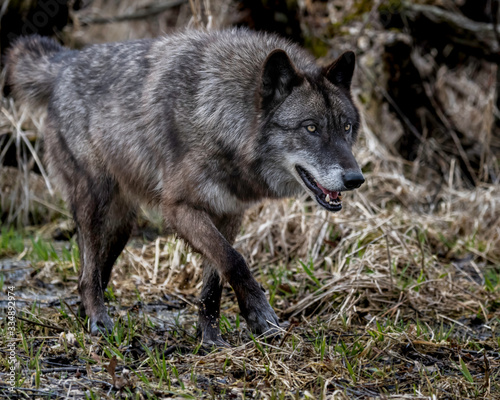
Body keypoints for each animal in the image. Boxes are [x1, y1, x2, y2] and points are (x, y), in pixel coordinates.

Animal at [5, 28, 366, 346]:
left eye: (347, 127)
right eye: (311, 128)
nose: (356, 179)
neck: (222, 117)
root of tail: (65, 62)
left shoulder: (228, 213)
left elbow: (214, 282)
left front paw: (211, 339)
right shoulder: (179, 209)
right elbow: (234, 260)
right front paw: (260, 316)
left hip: (123, 224)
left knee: (94, 271)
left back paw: (84, 314)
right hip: (94, 202)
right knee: (88, 273)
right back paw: (98, 320)